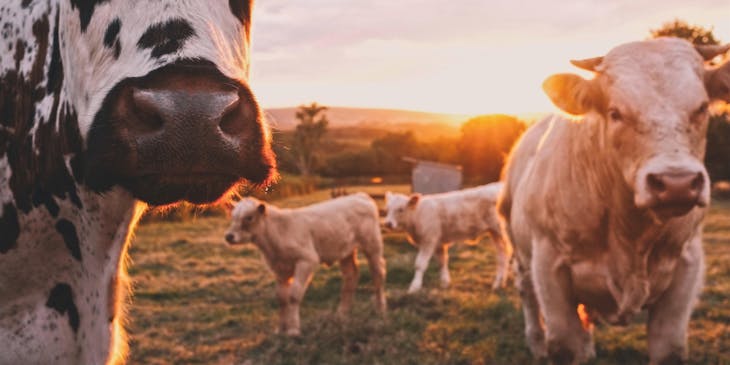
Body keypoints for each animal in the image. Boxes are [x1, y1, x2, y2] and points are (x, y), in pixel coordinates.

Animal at [223, 193, 386, 336]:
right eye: (232, 216)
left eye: (249, 217)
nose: (229, 236)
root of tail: (360, 195)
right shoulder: (279, 269)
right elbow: (281, 298)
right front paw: (281, 329)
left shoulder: (307, 260)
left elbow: (294, 295)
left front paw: (293, 330)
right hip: (345, 251)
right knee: (350, 276)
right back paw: (342, 313)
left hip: (372, 245)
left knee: (377, 273)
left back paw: (380, 309)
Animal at [494, 37, 728, 364]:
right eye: (615, 112)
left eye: (702, 107)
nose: (677, 184)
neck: (630, 233)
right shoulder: (549, 267)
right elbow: (564, 344)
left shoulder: (687, 265)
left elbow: (669, 347)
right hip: (518, 249)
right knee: (527, 293)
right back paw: (536, 344)